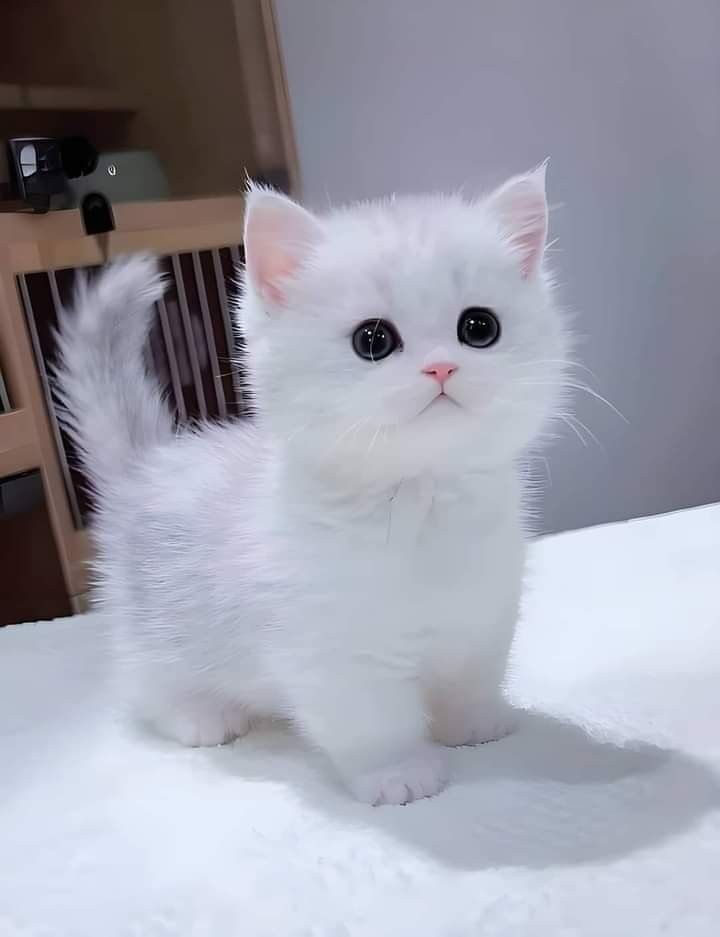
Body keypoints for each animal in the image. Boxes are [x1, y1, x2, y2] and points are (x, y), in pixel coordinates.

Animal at [57, 165, 568, 800]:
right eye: (373, 340)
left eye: (479, 327)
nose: (441, 366)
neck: (420, 505)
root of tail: (148, 465)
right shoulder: (329, 646)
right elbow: (370, 717)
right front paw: (396, 772)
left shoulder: (484, 613)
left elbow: (470, 675)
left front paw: (472, 724)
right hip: (154, 626)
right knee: (147, 683)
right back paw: (202, 715)